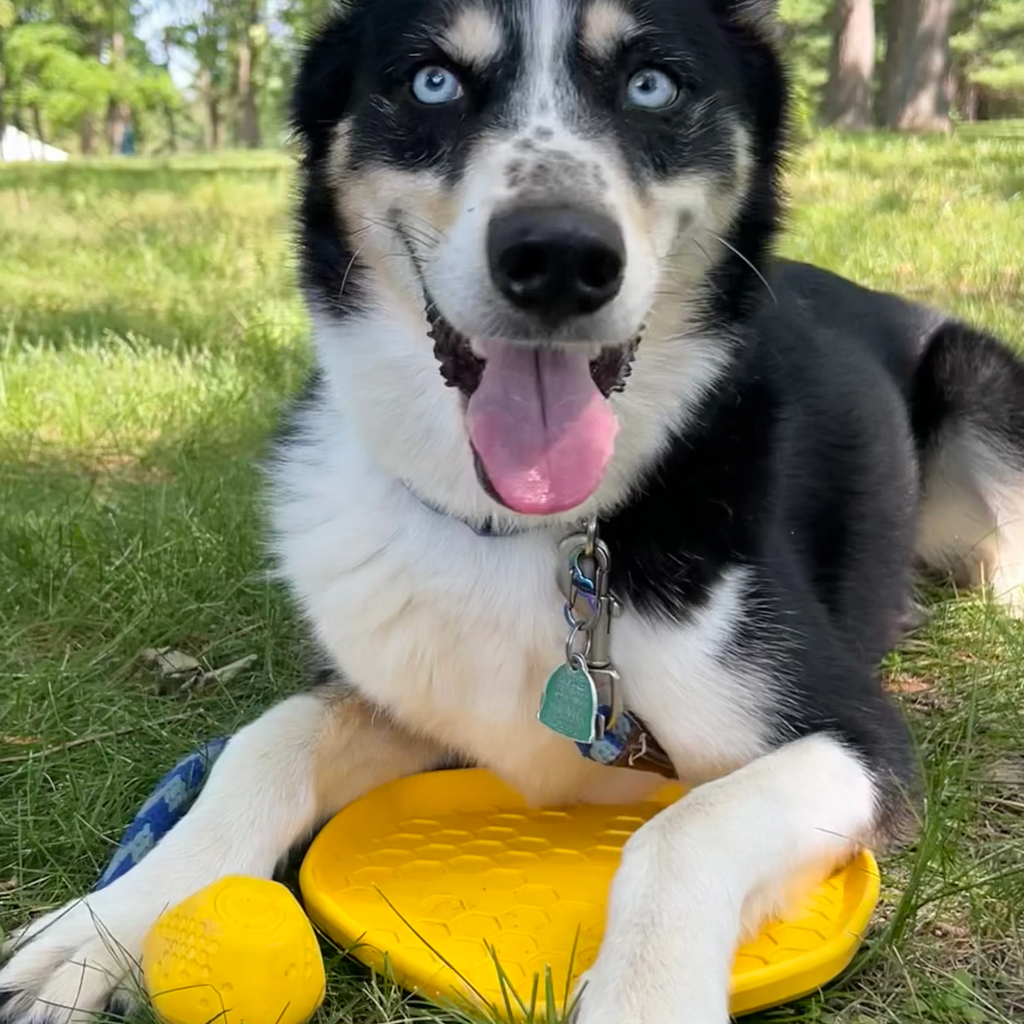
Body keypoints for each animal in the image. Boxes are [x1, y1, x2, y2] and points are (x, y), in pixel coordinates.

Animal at [2, 2, 1024, 1024]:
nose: (559, 259)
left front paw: (642, 997)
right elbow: (265, 743)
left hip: (980, 388)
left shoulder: (855, 738)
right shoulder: (404, 688)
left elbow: (683, 829)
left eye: (652, 84)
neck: (527, 529)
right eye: (432, 82)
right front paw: (101, 930)